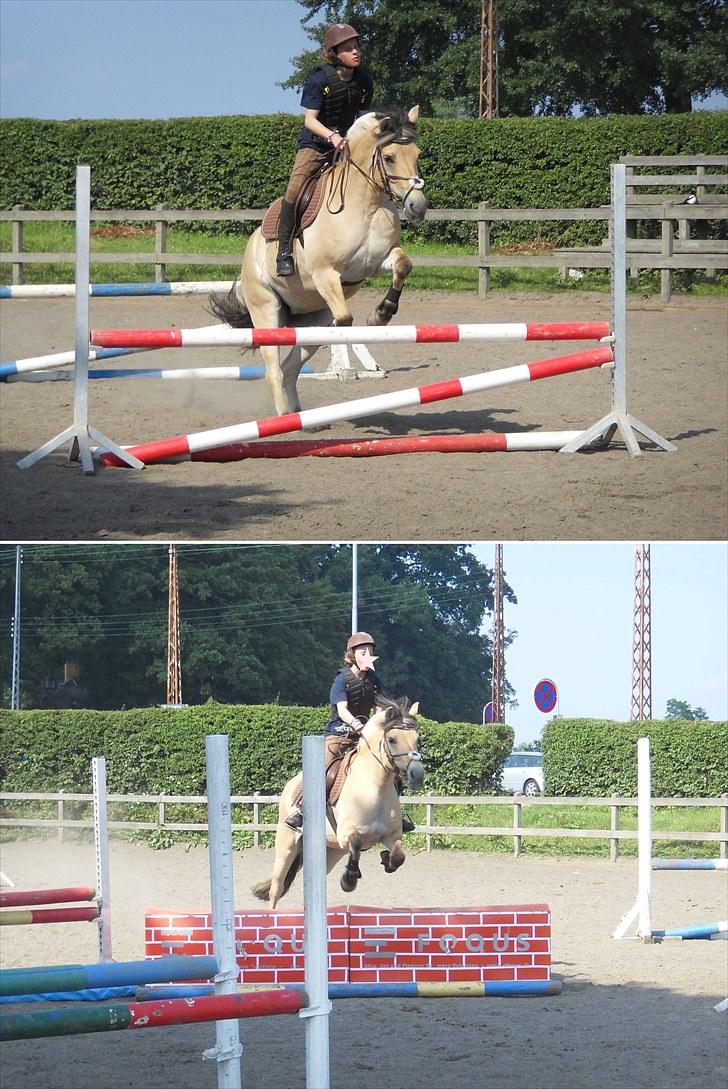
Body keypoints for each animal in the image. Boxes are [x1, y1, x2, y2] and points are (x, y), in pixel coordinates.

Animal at [206, 108, 426, 415]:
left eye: (417, 154)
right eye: (389, 157)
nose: (418, 206)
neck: (366, 204)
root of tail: (250, 252)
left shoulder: (378, 260)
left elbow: (403, 266)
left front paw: (381, 314)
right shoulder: (326, 274)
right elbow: (344, 318)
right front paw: (374, 318)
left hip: (314, 317)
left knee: (290, 367)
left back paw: (297, 412)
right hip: (266, 310)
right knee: (274, 371)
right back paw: (284, 418)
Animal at [254, 696, 426, 910]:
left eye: (418, 740)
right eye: (392, 739)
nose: (417, 775)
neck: (374, 787)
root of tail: (290, 785)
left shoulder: (391, 835)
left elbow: (398, 856)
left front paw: (386, 859)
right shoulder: (346, 834)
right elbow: (356, 841)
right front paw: (349, 879)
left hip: (331, 851)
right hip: (286, 847)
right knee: (275, 889)